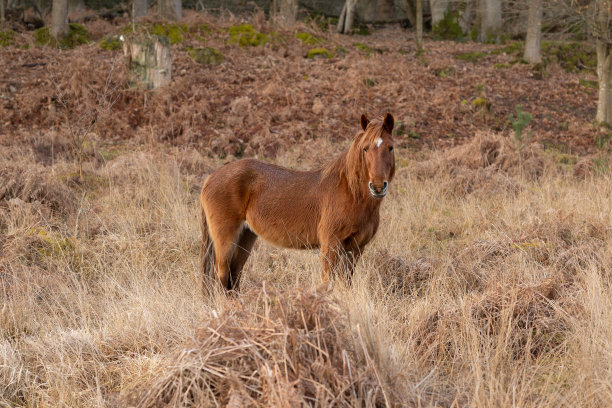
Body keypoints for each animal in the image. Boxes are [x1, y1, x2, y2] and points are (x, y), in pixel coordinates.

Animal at [198, 112, 394, 290]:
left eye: (390, 147)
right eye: (365, 148)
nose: (377, 186)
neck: (351, 193)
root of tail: (211, 178)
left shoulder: (356, 248)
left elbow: (346, 284)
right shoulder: (331, 245)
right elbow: (328, 282)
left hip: (246, 236)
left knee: (233, 276)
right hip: (225, 239)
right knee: (221, 276)